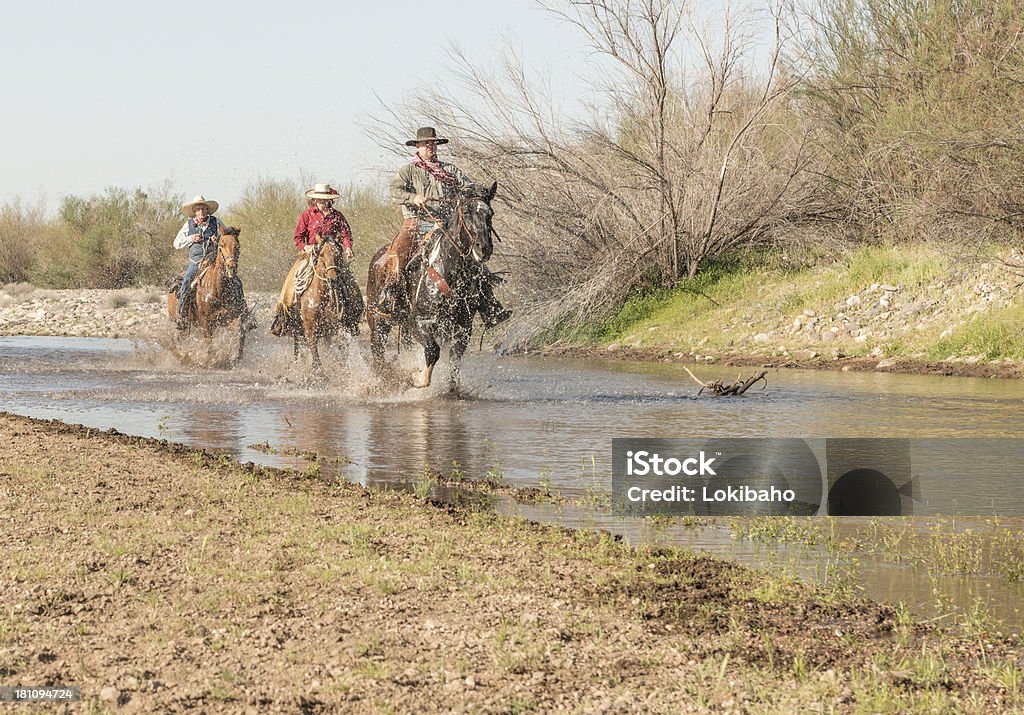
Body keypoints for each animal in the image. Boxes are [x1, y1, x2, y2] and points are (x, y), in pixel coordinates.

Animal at [165, 227, 251, 362]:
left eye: (238, 246)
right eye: (221, 245)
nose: (231, 268)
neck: (219, 290)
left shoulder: (234, 317)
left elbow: (239, 333)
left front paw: (236, 357)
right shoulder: (206, 323)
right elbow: (209, 345)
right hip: (180, 321)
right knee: (182, 339)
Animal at [366, 178, 497, 389]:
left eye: (490, 213)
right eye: (466, 212)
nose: (483, 248)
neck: (450, 272)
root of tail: (378, 259)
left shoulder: (463, 329)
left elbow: (454, 365)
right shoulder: (418, 322)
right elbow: (433, 350)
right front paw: (417, 377)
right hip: (378, 322)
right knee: (377, 352)